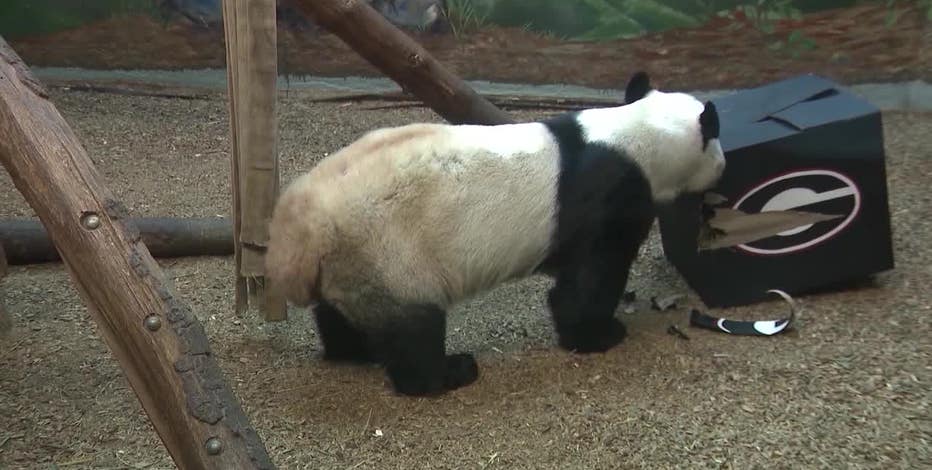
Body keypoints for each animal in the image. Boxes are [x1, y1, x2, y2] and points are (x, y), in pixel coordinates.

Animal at [265, 72, 726, 396]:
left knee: (342, 312)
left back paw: (354, 350)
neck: (637, 134)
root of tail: (299, 232)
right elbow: (590, 278)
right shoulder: (609, 195)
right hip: (388, 250)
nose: (723, 168)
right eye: (718, 143)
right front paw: (601, 334)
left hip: (349, 261)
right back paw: (450, 372)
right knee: (414, 327)